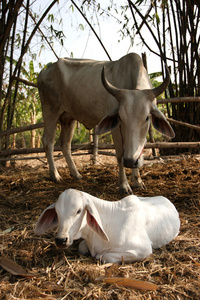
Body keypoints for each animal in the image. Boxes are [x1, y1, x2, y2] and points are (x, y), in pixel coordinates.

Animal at [34, 189, 180, 264]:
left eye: (78, 211)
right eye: (57, 212)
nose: (61, 240)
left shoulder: (143, 249)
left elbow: (103, 257)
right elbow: (82, 247)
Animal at [38, 52, 175, 193]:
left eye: (147, 118)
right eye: (120, 117)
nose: (130, 162)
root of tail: (44, 71)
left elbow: (139, 150)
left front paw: (138, 181)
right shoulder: (116, 129)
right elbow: (120, 154)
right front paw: (124, 185)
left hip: (68, 119)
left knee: (65, 144)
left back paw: (76, 174)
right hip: (50, 112)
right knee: (48, 142)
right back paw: (55, 175)